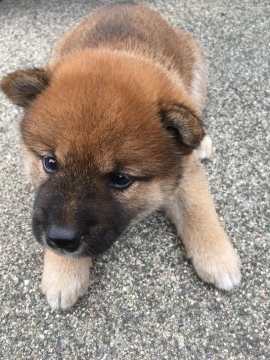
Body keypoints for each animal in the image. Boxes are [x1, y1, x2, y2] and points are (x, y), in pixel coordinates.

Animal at [0, 1, 240, 310]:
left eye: (120, 179)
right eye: (50, 163)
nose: (61, 240)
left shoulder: (186, 172)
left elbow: (199, 210)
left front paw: (218, 258)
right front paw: (63, 272)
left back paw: (202, 141)